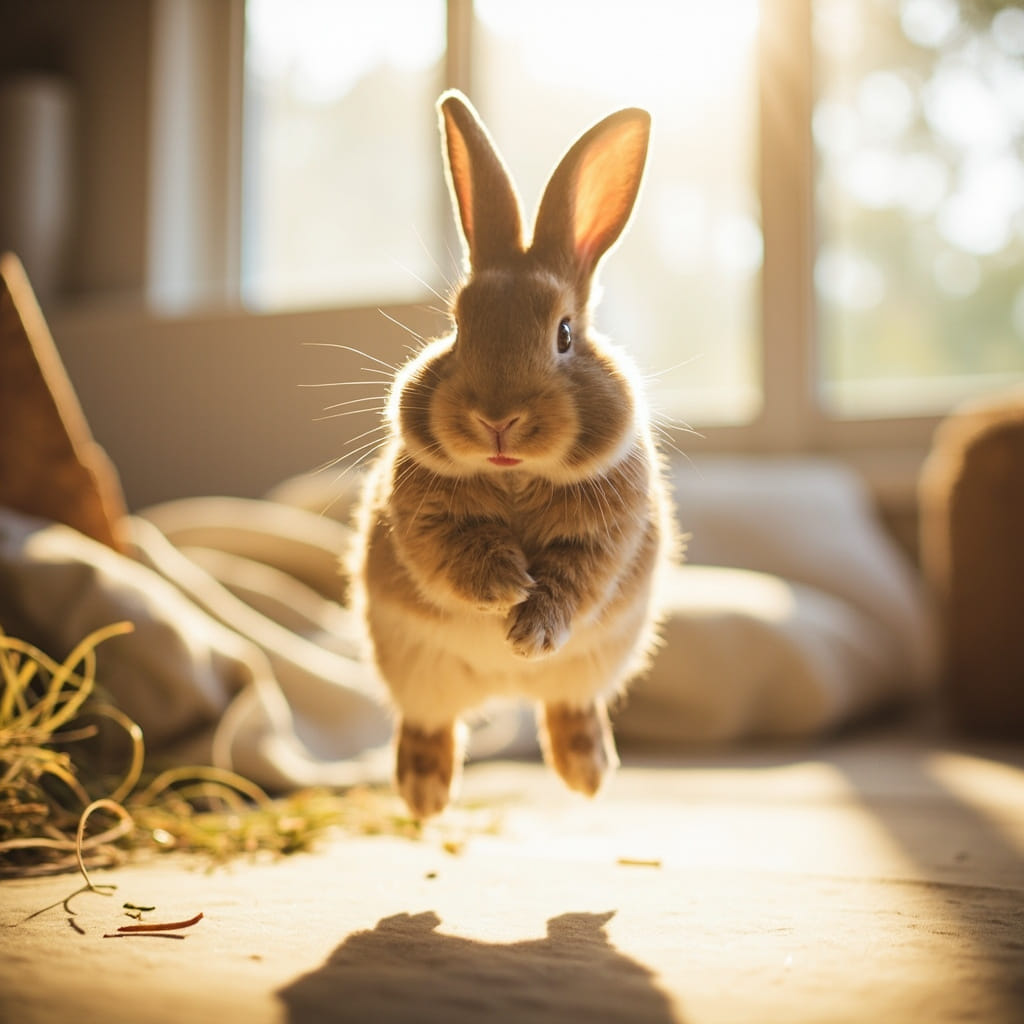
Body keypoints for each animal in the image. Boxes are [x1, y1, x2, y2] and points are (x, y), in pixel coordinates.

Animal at [350, 89, 677, 818]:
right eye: (457, 327)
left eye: (564, 334)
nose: (497, 421)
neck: (516, 479)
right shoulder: (426, 524)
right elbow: (459, 556)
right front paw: (504, 588)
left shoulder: (602, 541)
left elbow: (570, 583)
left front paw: (527, 632)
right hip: (412, 668)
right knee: (431, 723)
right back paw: (425, 796)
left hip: (591, 668)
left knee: (568, 707)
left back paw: (586, 774)